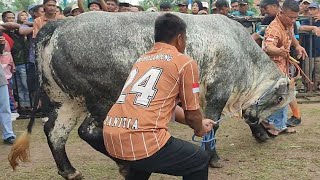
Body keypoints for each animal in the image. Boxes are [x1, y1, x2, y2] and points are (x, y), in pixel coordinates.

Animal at [8, 11, 294, 179]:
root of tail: (61, 23)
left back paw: (70, 171)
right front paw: (214, 159)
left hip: (66, 100)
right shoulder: (218, 91)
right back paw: (124, 165)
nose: (267, 125)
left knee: (55, 132)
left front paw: (261, 133)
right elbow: (211, 127)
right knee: (90, 131)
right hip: (103, 98)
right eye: (280, 99)